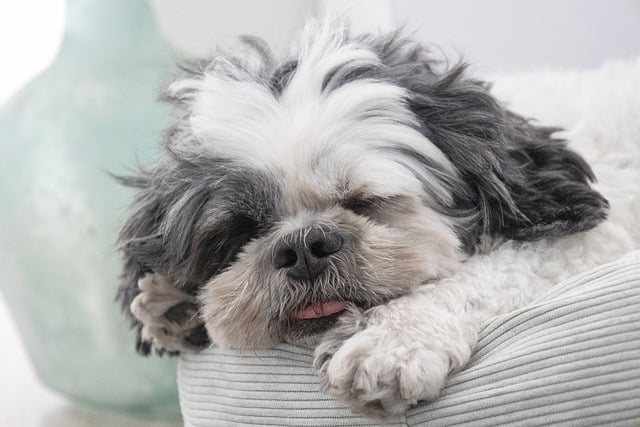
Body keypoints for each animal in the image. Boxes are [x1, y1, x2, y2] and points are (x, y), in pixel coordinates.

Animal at [116, 20, 640, 418]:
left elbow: (489, 270)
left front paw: (391, 340)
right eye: (242, 230)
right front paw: (174, 304)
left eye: (365, 201)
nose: (303, 246)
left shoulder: (588, 242)